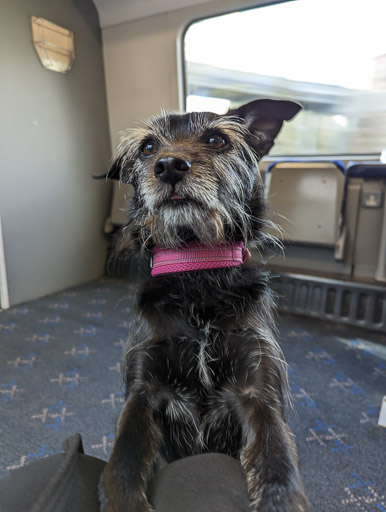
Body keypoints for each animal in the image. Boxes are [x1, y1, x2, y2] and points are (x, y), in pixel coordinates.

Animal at [96, 99, 310, 512]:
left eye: (216, 139)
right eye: (148, 148)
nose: (168, 165)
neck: (197, 273)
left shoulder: (257, 391)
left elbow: (277, 462)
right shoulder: (143, 392)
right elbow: (122, 465)